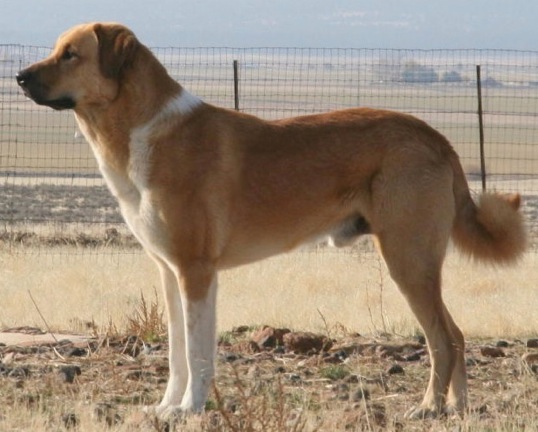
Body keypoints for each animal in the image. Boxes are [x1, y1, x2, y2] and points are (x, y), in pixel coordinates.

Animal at [15, 22, 524, 418]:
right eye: (57, 49)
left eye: (71, 54)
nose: (18, 77)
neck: (139, 130)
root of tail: (434, 136)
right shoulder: (170, 272)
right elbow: (178, 351)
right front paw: (168, 406)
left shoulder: (196, 272)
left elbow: (197, 353)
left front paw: (190, 408)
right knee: (456, 336)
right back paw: (457, 408)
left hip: (408, 261)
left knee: (443, 338)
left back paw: (429, 407)